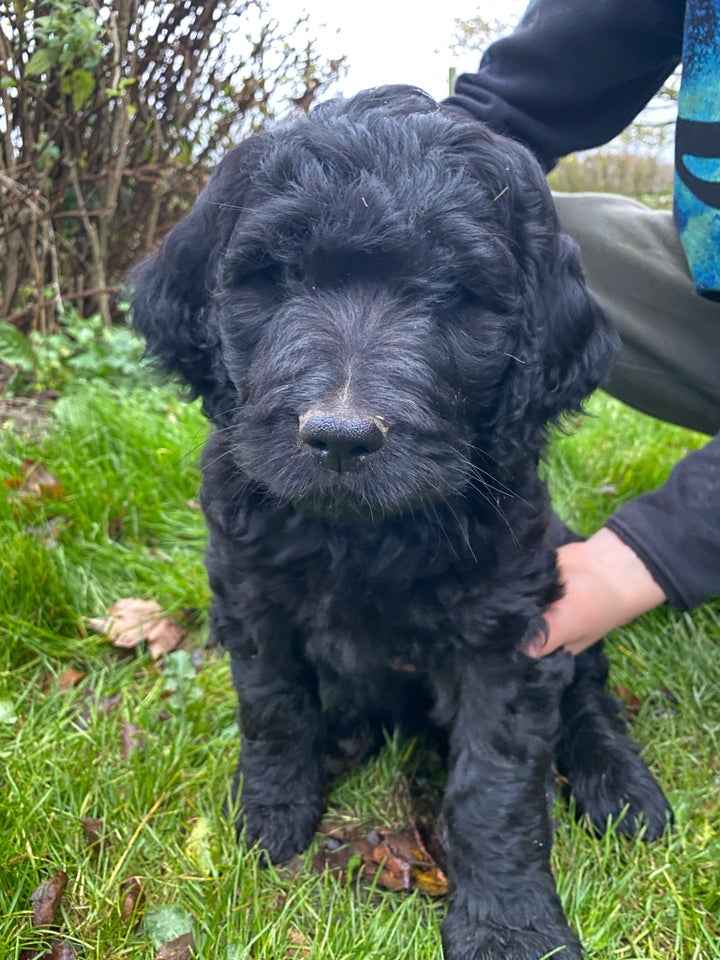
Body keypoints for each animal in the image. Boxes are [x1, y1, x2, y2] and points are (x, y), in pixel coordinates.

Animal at [131, 86, 676, 956]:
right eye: (277, 278)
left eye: (457, 296)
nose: (341, 437)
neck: (360, 534)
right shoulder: (250, 597)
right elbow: (274, 710)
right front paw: (271, 817)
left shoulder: (505, 635)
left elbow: (495, 787)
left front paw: (511, 924)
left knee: (590, 698)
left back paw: (619, 786)